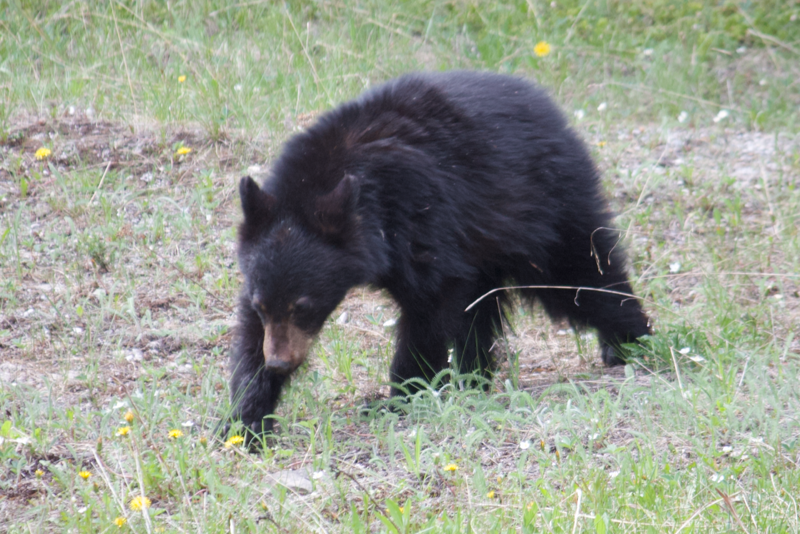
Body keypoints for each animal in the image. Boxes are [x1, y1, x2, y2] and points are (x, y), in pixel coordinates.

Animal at [230, 72, 648, 440]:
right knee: (479, 312)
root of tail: (552, 109)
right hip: (485, 248)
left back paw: (630, 343)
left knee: (580, 277)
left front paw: (398, 397)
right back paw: (475, 378)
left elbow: (428, 305)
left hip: (546, 209)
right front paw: (245, 419)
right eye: (263, 306)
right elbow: (249, 335)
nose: (279, 362)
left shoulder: (419, 213)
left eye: (304, 306)